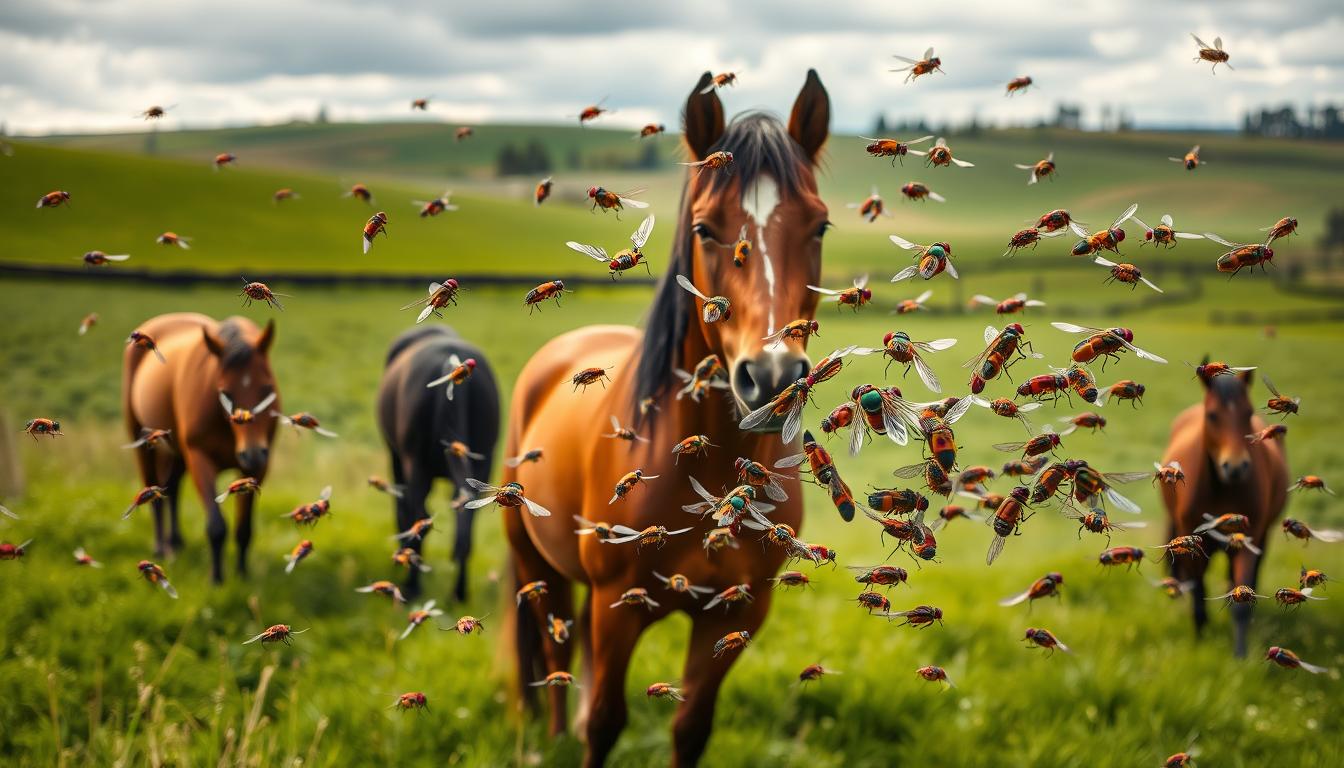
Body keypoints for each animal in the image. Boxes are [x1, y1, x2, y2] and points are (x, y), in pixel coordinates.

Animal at [122, 313, 280, 583]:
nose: (251, 454)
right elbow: (217, 526)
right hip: (142, 440)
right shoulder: (200, 459)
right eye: (225, 393)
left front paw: (242, 574)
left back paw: (176, 542)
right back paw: (161, 548)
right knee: (152, 491)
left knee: (172, 487)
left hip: (176, 450)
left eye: (267, 389)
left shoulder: (258, 469)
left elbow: (244, 528)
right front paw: (216, 579)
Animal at [377, 325, 500, 601]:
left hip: (413, 464)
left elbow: (406, 513)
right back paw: (459, 592)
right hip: (484, 462)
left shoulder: (398, 459)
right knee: (466, 523)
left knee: (417, 515)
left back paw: (412, 587)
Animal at [501, 70, 831, 767]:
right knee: (553, 651)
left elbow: (690, 727)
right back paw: (551, 736)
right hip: (536, 564)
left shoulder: (736, 614)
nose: (773, 379)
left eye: (819, 227)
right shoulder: (618, 607)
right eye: (705, 229)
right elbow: (604, 722)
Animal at [1159, 366, 1289, 657]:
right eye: (1212, 415)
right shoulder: (1193, 544)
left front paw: (1240, 656)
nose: (1236, 467)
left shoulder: (1247, 540)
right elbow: (1198, 594)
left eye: (1248, 413)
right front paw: (1200, 641)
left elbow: (1241, 600)